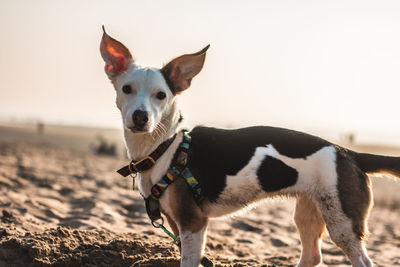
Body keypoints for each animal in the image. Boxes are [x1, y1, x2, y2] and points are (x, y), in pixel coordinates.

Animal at [100, 27, 400, 267]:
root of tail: (349, 153)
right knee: (312, 256)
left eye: (161, 95)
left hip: (342, 223)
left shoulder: (193, 223)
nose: (141, 117)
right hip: (310, 211)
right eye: (126, 89)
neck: (163, 149)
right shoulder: (176, 220)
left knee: (361, 260)